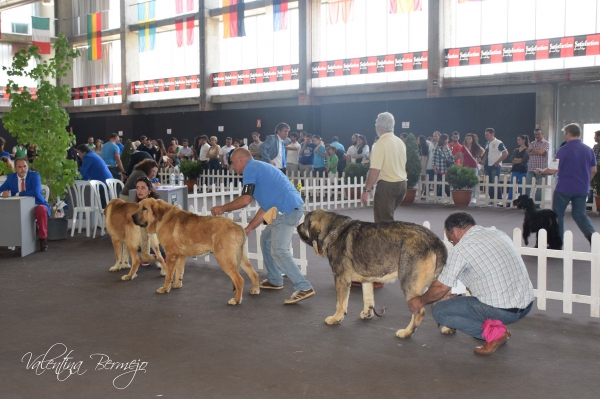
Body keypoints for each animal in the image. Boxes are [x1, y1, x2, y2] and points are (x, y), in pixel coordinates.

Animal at [298, 211, 448, 340]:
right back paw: (447, 328)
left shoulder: (341, 278)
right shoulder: (367, 280)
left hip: (408, 283)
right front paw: (367, 313)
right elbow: (368, 298)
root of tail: (435, 241)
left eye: (304, 223)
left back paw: (407, 332)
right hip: (439, 284)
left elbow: (340, 303)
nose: (297, 226)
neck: (333, 230)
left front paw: (336, 318)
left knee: (419, 311)